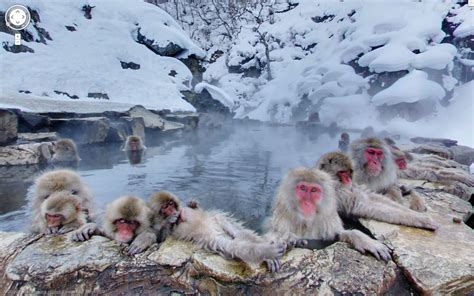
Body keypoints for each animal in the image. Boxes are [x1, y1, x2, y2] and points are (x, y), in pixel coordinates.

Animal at [144, 191, 286, 272]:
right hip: (212, 238)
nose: (173, 210)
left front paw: (193, 204)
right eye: (165, 207)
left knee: (237, 232)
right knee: (233, 246)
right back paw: (268, 252)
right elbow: (162, 236)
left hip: (217, 220)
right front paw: (169, 221)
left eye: (171, 204)